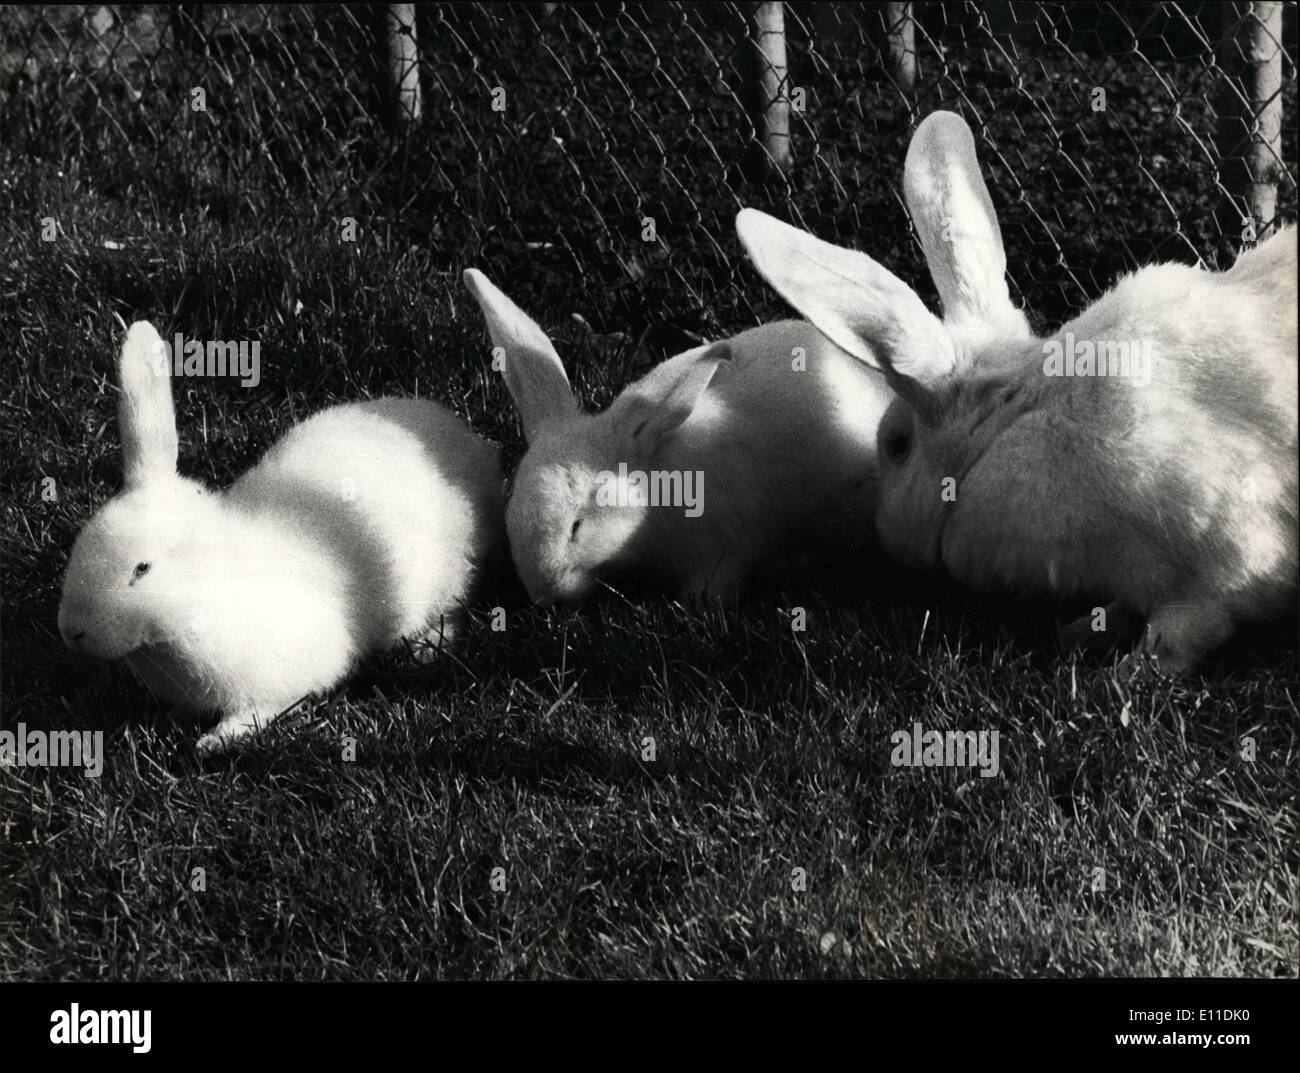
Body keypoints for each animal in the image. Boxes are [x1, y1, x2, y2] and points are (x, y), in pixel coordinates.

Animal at [62, 322, 506, 749]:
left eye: (142, 569)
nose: (72, 632)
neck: (204, 592)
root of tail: (472, 449)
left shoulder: (279, 680)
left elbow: (258, 709)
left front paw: (216, 741)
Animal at [738, 108, 1294, 671]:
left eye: (896, 445)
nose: (884, 531)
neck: (1009, 419)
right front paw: (1080, 632)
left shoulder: (1214, 575)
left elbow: (1178, 638)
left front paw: (1124, 674)